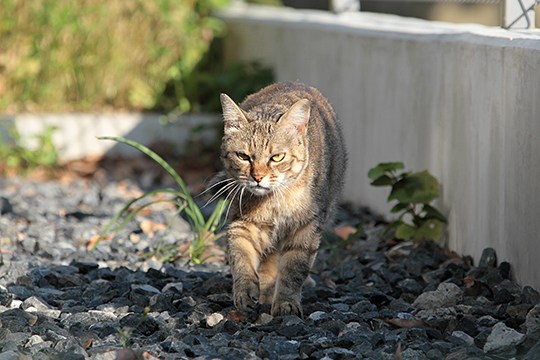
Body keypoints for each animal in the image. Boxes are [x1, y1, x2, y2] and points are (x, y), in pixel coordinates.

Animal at [215, 82, 346, 318]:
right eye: (243, 156)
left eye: (277, 157)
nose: (257, 177)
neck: (273, 202)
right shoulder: (242, 223)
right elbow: (241, 258)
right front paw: (245, 291)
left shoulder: (306, 228)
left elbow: (293, 270)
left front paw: (286, 303)